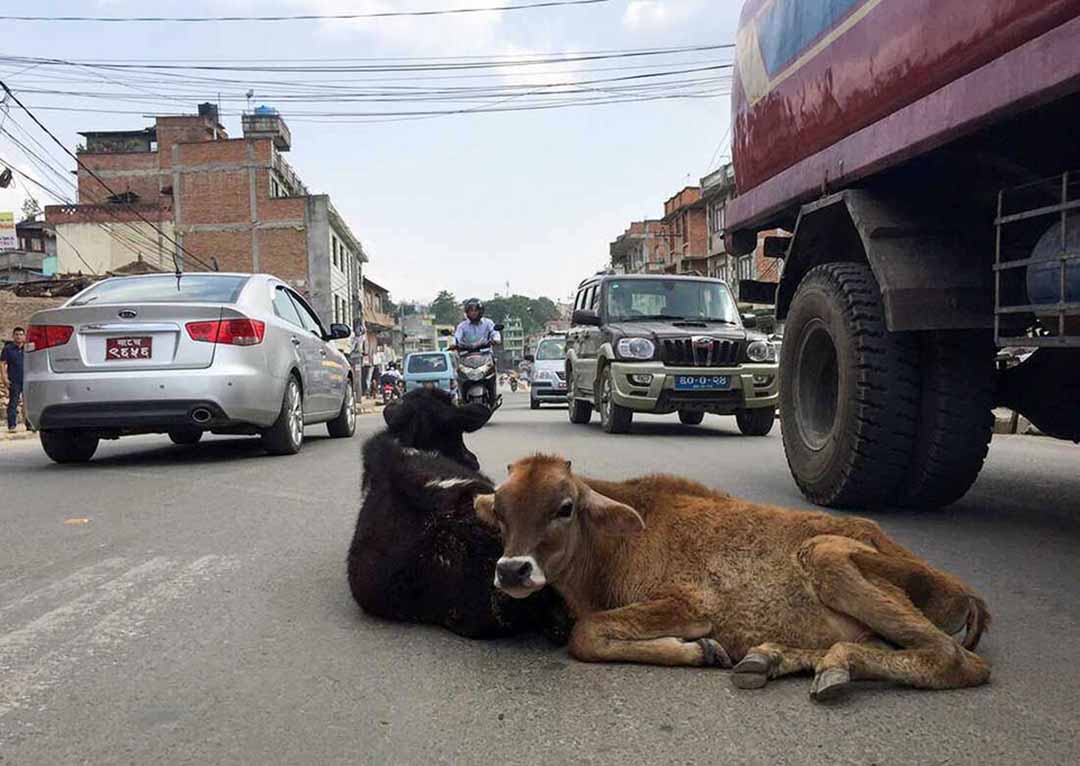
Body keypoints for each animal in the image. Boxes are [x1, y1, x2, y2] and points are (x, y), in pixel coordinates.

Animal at [477, 458, 989, 700]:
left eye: (564, 508)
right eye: (499, 511)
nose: (512, 569)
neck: (614, 544)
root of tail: (967, 594)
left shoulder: (688, 605)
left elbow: (584, 634)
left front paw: (699, 649)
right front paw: (709, 652)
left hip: (826, 555)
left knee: (955, 660)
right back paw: (771, 659)